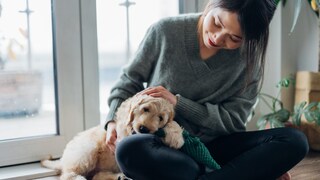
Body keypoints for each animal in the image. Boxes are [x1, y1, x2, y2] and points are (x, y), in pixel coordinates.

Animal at [41, 95, 184, 179]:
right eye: (145, 109)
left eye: (160, 117)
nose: (143, 129)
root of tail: (63, 159)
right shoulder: (123, 129)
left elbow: (172, 122)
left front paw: (176, 136)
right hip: (87, 150)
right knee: (68, 174)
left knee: (96, 176)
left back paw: (119, 177)